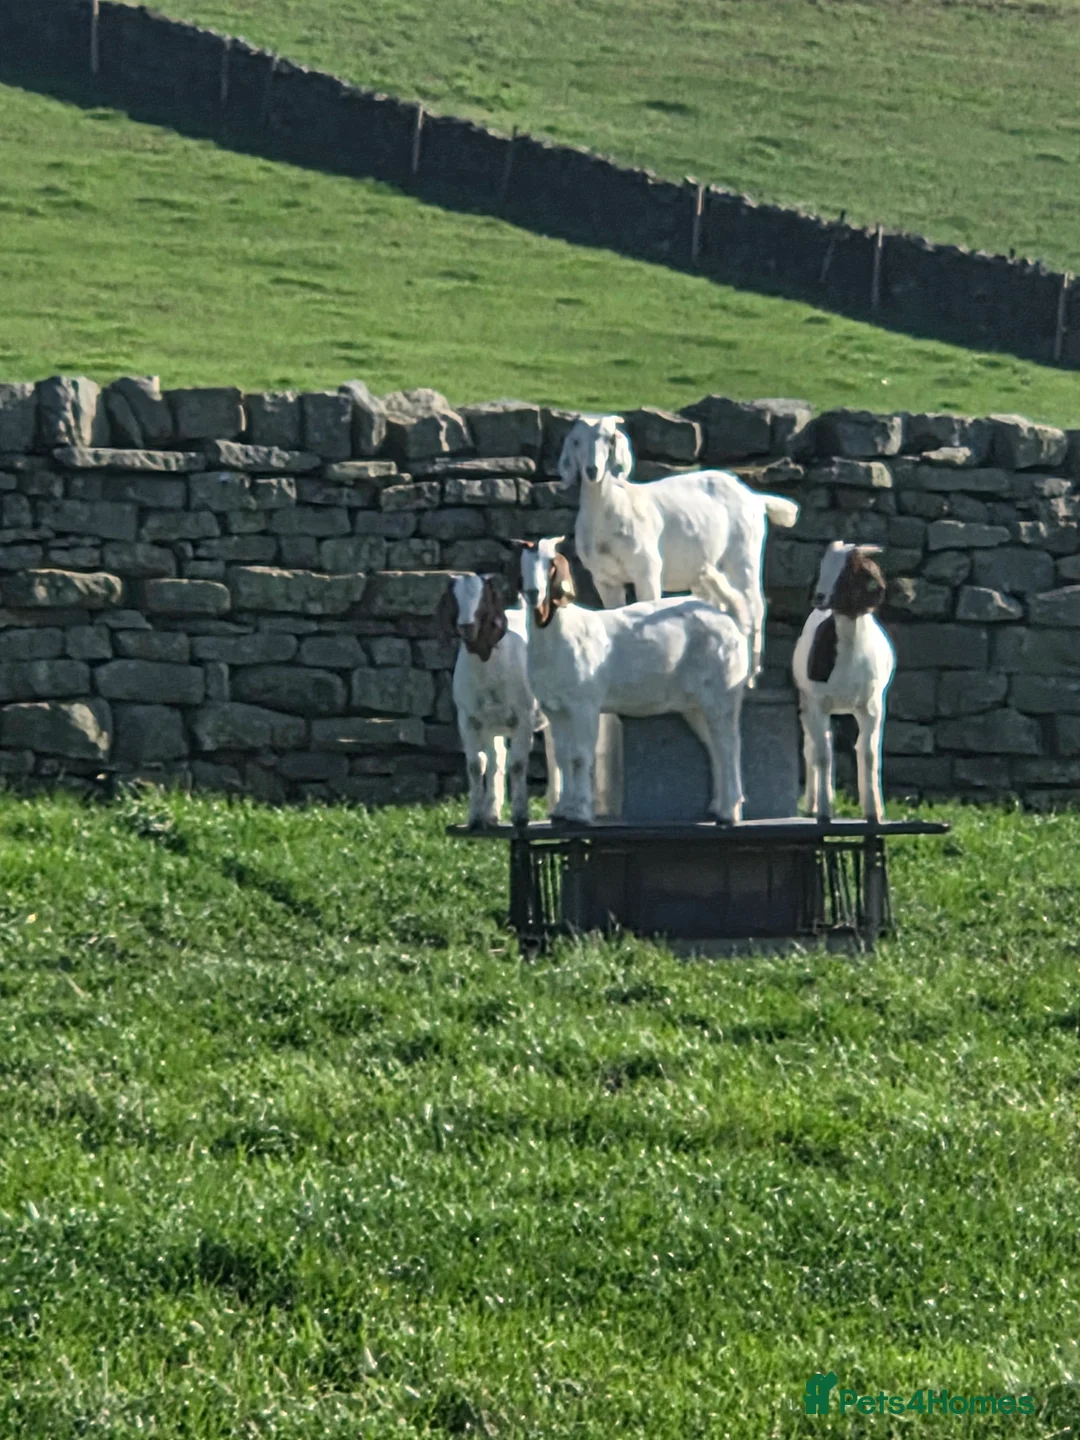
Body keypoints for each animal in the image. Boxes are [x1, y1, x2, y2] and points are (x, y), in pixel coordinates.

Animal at [438, 573, 554, 827]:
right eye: (454, 598)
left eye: (483, 599)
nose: (466, 626)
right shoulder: (468, 720)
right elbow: (476, 766)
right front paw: (474, 817)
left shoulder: (523, 717)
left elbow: (518, 765)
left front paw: (520, 815)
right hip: (494, 725)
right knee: (496, 760)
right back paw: (491, 812)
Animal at [517, 536, 750, 825]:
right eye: (522, 563)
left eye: (551, 565)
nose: (532, 593)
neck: (561, 633)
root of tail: (731, 620)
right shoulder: (556, 709)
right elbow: (563, 758)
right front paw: (563, 811)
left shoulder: (584, 705)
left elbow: (580, 757)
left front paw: (580, 813)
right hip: (695, 705)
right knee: (714, 746)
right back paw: (720, 808)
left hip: (722, 693)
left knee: (729, 745)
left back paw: (730, 812)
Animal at [558, 414, 800, 683]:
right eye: (576, 441)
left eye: (608, 439)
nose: (592, 470)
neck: (611, 509)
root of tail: (755, 497)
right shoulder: (604, 578)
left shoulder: (647, 569)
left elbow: (646, 606)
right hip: (704, 568)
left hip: (744, 552)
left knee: (755, 605)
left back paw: (751, 675)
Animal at [791, 541, 895, 823]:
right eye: (822, 567)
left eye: (847, 573)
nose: (819, 597)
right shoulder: (817, 704)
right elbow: (823, 756)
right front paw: (824, 812)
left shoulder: (871, 706)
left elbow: (869, 753)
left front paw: (873, 812)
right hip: (807, 703)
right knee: (813, 748)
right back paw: (812, 804)